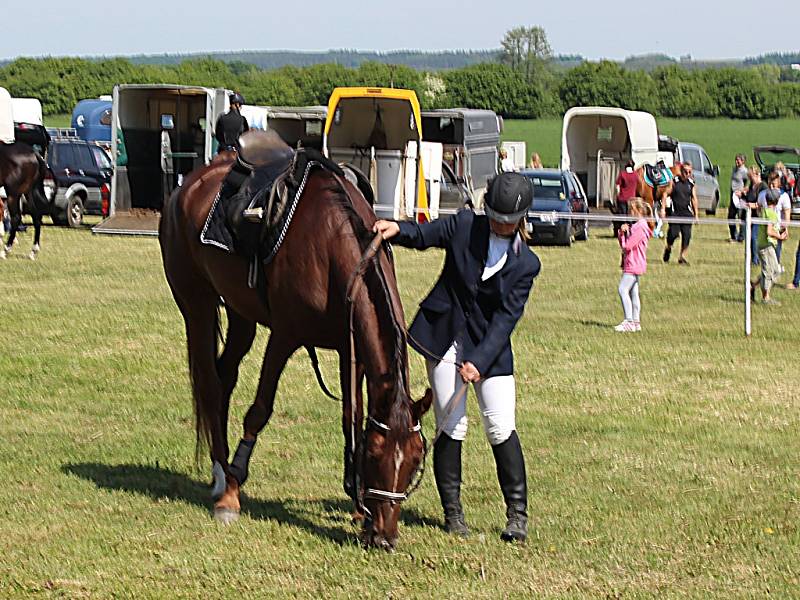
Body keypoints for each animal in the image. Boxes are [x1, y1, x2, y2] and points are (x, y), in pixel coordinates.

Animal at [158, 130, 432, 548]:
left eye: (416, 458)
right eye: (375, 453)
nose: (384, 537)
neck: (333, 246)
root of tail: (185, 187)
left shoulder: (349, 348)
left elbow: (350, 416)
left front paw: (356, 505)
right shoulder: (285, 337)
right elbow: (259, 411)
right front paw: (232, 498)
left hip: (241, 315)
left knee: (224, 378)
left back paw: (221, 471)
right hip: (197, 306)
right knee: (209, 383)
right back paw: (225, 478)